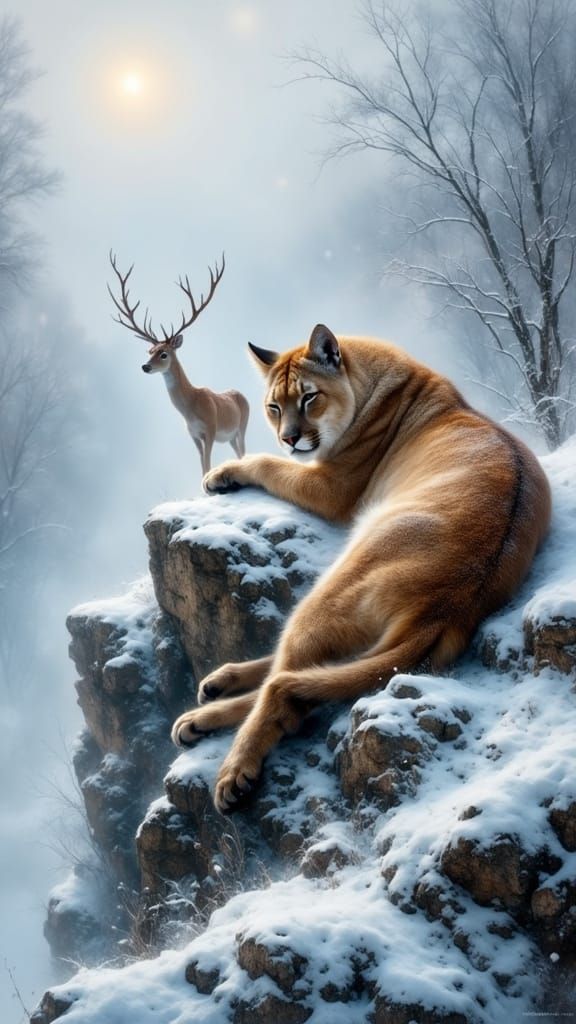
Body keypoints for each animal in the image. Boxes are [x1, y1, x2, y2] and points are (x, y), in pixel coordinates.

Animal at [171, 324, 551, 814]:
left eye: (308, 397)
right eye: (274, 407)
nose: (289, 438)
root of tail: (451, 605)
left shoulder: (329, 486)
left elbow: (266, 463)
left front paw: (221, 473)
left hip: (333, 588)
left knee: (285, 686)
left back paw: (230, 768)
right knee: (305, 674)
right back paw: (214, 691)